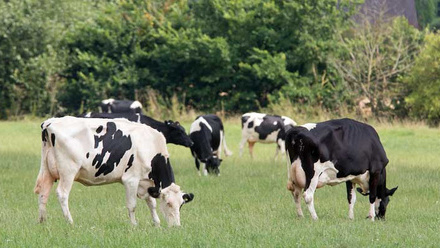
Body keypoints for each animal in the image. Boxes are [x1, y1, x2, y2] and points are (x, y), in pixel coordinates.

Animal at [37, 116, 195, 227]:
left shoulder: (145, 183)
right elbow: (132, 205)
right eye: (168, 203)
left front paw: (156, 223)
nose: (176, 226)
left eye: (181, 205)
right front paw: (134, 225)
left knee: (43, 192)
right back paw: (70, 222)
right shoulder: (131, 180)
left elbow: (151, 203)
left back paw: (42, 221)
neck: (150, 145)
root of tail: (50, 123)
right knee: (62, 194)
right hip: (68, 171)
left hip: (46, 169)